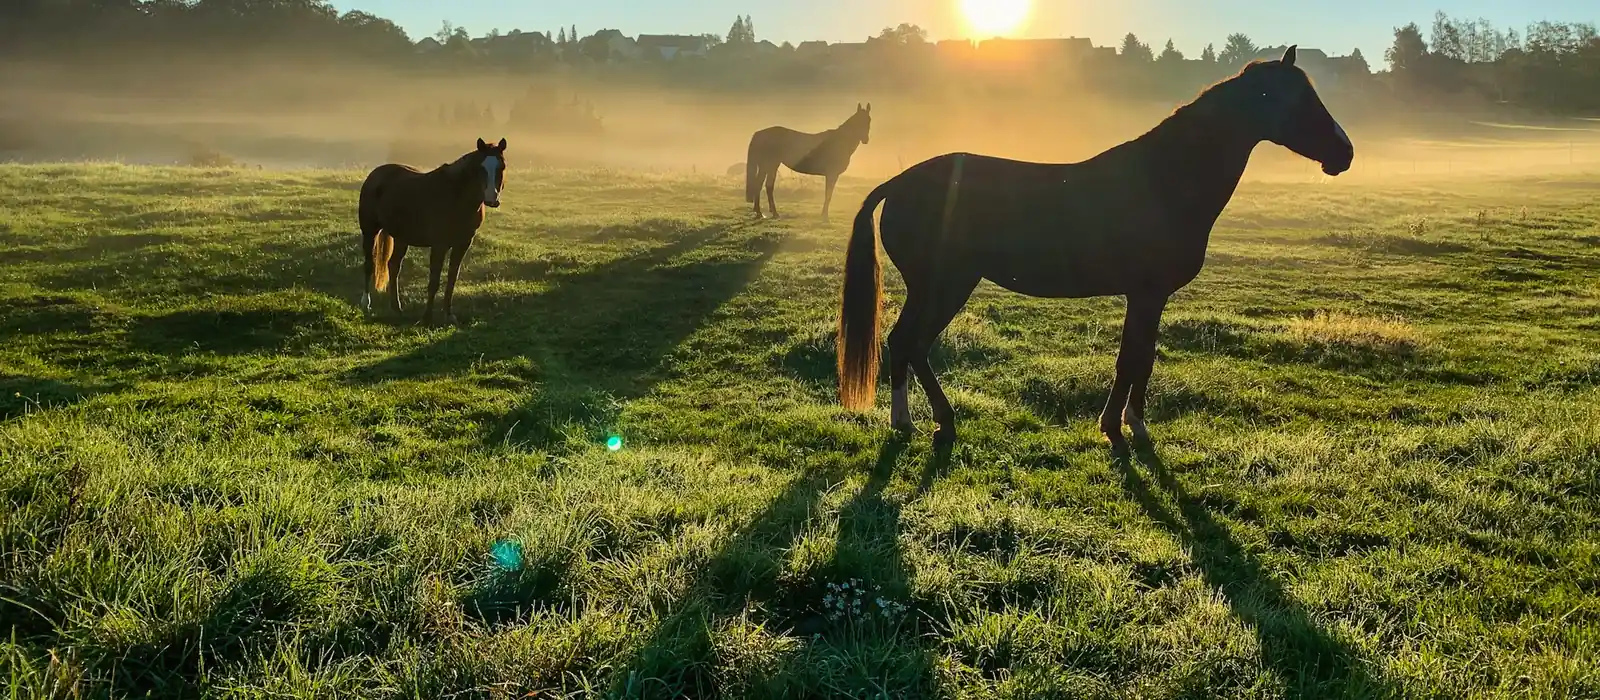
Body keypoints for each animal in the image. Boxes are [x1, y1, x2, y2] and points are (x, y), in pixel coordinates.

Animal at [358, 138, 508, 327]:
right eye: (481, 168)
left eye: (501, 167)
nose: (491, 199)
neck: (456, 197)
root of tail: (375, 175)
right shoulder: (439, 245)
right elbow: (434, 281)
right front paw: (426, 318)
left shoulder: (462, 244)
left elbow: (451, 279)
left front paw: (449, 315)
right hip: (370, 231)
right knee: (369, 264)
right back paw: (366, 303)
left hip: (401, 238)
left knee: (393, 266)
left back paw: (396, 308)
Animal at [835, 46, 1353, 454]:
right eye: (1295, 100)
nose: (1344, 154)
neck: (1162, 180)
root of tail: (900, 182)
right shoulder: (1146, 294)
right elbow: (1132, 360)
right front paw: (1123, 428)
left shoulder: (1149, 297)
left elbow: (1140, 357)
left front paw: (1127, 423)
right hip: (944, 285)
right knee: (908, 342)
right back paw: (922, 422)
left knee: (908, 344)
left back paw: (922, 420)